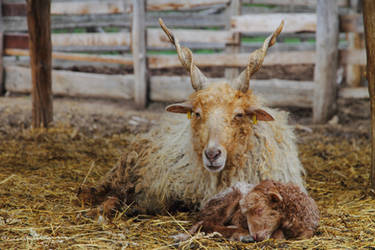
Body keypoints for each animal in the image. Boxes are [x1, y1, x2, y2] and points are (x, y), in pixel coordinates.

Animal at [177, 181, 320, 243]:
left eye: (260, 209)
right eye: (245, 214)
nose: (256, 236)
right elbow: (279, 235)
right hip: (226, 201)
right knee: (206, 224)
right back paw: (241, 234)